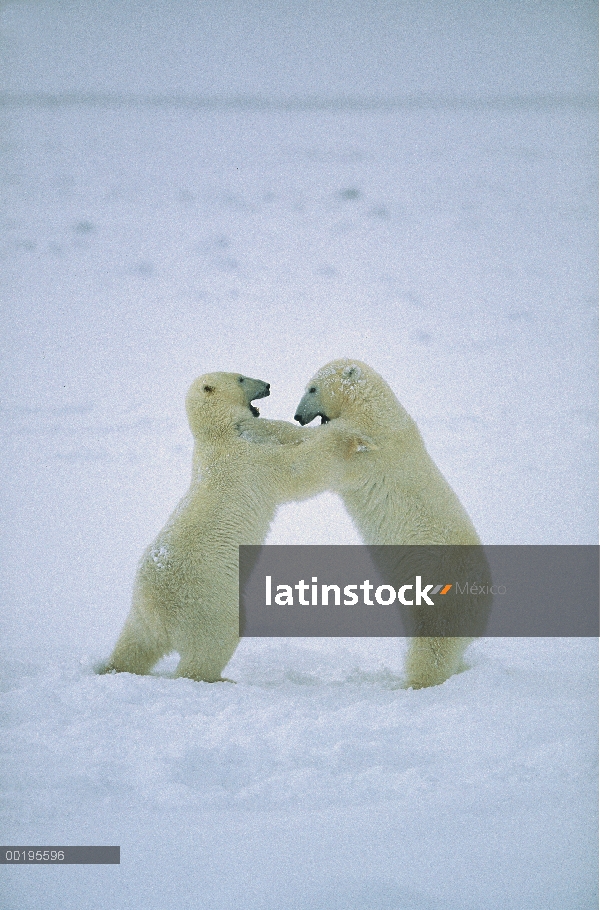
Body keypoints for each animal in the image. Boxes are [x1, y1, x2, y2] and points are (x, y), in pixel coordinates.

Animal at [101, 372, 368, 684]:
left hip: (139, 613)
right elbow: (297, 470)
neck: (219, 434)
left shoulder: (251, 435)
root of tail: (160, 615)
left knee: (134, 644)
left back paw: (113, 666)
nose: (267, 385)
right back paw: (218, 678)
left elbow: (283, 432)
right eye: (240, 378)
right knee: (211, 645)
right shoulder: (250, 460)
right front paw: (346, 439)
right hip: (208, 602)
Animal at [292, 360, 490, 688]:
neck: (377, 410)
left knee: (433, 648)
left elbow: (325, 462)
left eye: (312, 388)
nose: (297, 416)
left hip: (441, 598)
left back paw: (413, 683)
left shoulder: (369, 447)